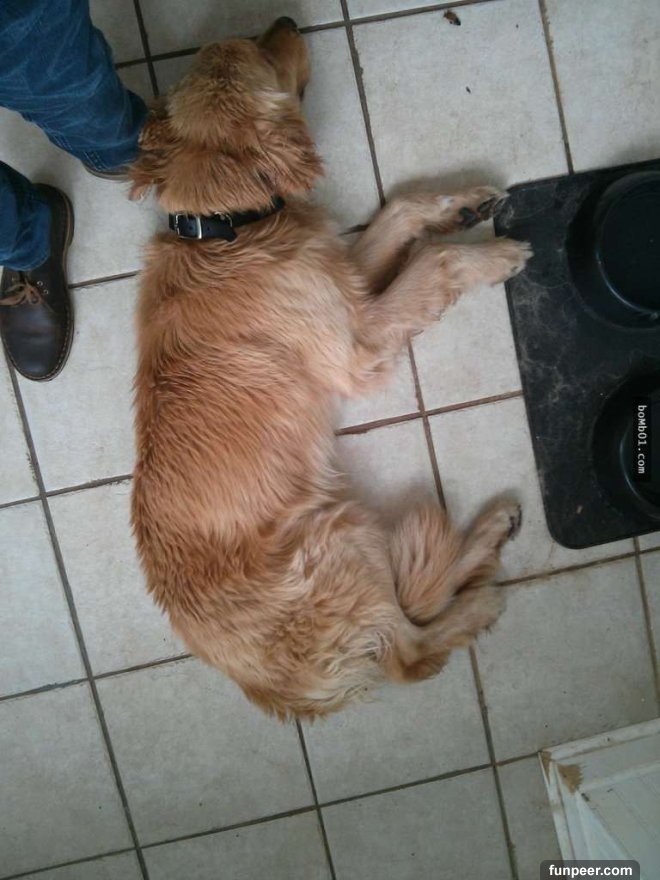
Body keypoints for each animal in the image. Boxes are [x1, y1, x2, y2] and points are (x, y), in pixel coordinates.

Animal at [129, 17, 530, 719]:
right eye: (262, 55)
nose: (287, 21)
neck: (224, 230)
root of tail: (283, 695)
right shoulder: (358, 344)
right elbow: (437, 261)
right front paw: (493, 255)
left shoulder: (346, 282)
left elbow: (399, 210)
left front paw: (462, 203)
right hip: (338, 536)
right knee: (411, 648)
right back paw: (481, 595)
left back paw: (489, 534)